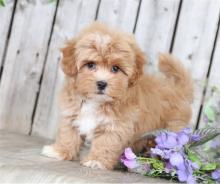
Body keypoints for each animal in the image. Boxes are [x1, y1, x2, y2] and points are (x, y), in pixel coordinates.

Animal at [41, 22, 192, 170]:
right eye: (90, 64)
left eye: (115, 68)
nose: (102, 83)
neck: (96, 101)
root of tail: (178, 90)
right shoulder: (72, 114)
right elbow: (68, 134)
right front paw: (59, 151)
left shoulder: (115, 126)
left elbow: (105, 143)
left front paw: (96, 161)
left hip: (171, 130)